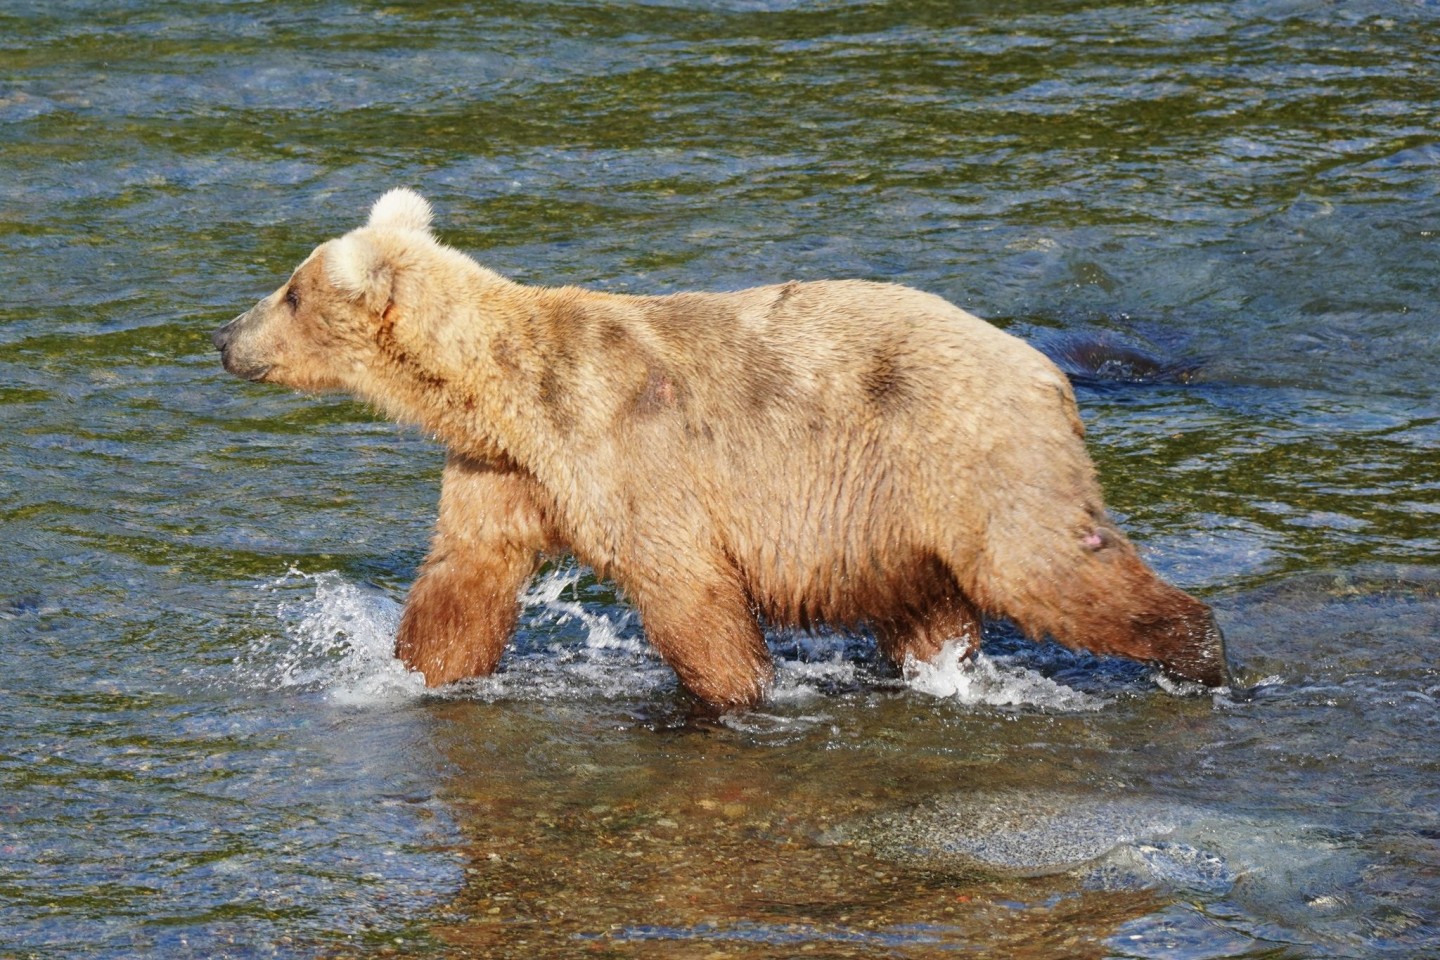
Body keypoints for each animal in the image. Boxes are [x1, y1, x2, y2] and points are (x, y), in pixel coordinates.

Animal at [210, 191, 1226, 711]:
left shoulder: (627, 451)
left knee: (1047, 564)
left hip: (970, 455)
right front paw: (404, 670)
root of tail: (1049, 370)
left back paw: (1199, 653)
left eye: (290, 291)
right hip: (897, 516)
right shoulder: (505, 472)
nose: (222, 336)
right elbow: (465, 578)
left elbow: (685, 589)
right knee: (930, 609)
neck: (502, 396)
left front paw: (741, 695)